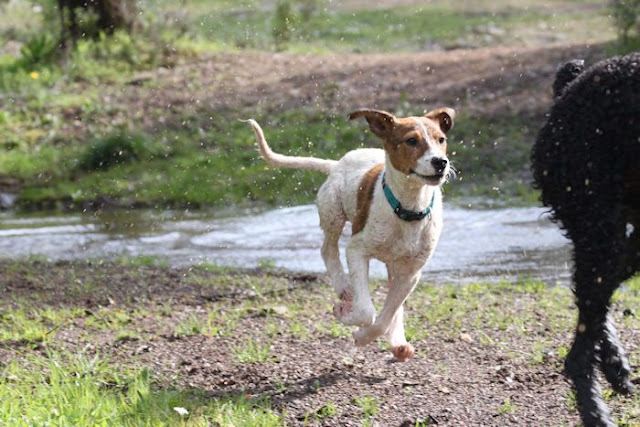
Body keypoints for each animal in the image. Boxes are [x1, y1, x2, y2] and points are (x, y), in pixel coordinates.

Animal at [246, 108, 456, 362]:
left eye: (441, 140)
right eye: (411, 141)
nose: (440, 162)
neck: (408, 209)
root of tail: (337, 164)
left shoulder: (412, 272)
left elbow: (387, 315)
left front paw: (366, 336)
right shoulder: (357, 249)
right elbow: (366, 311)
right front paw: (347, 317)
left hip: (395, 262)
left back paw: (398, 343)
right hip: (333, 211)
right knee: (327, 249)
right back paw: (344, 288)